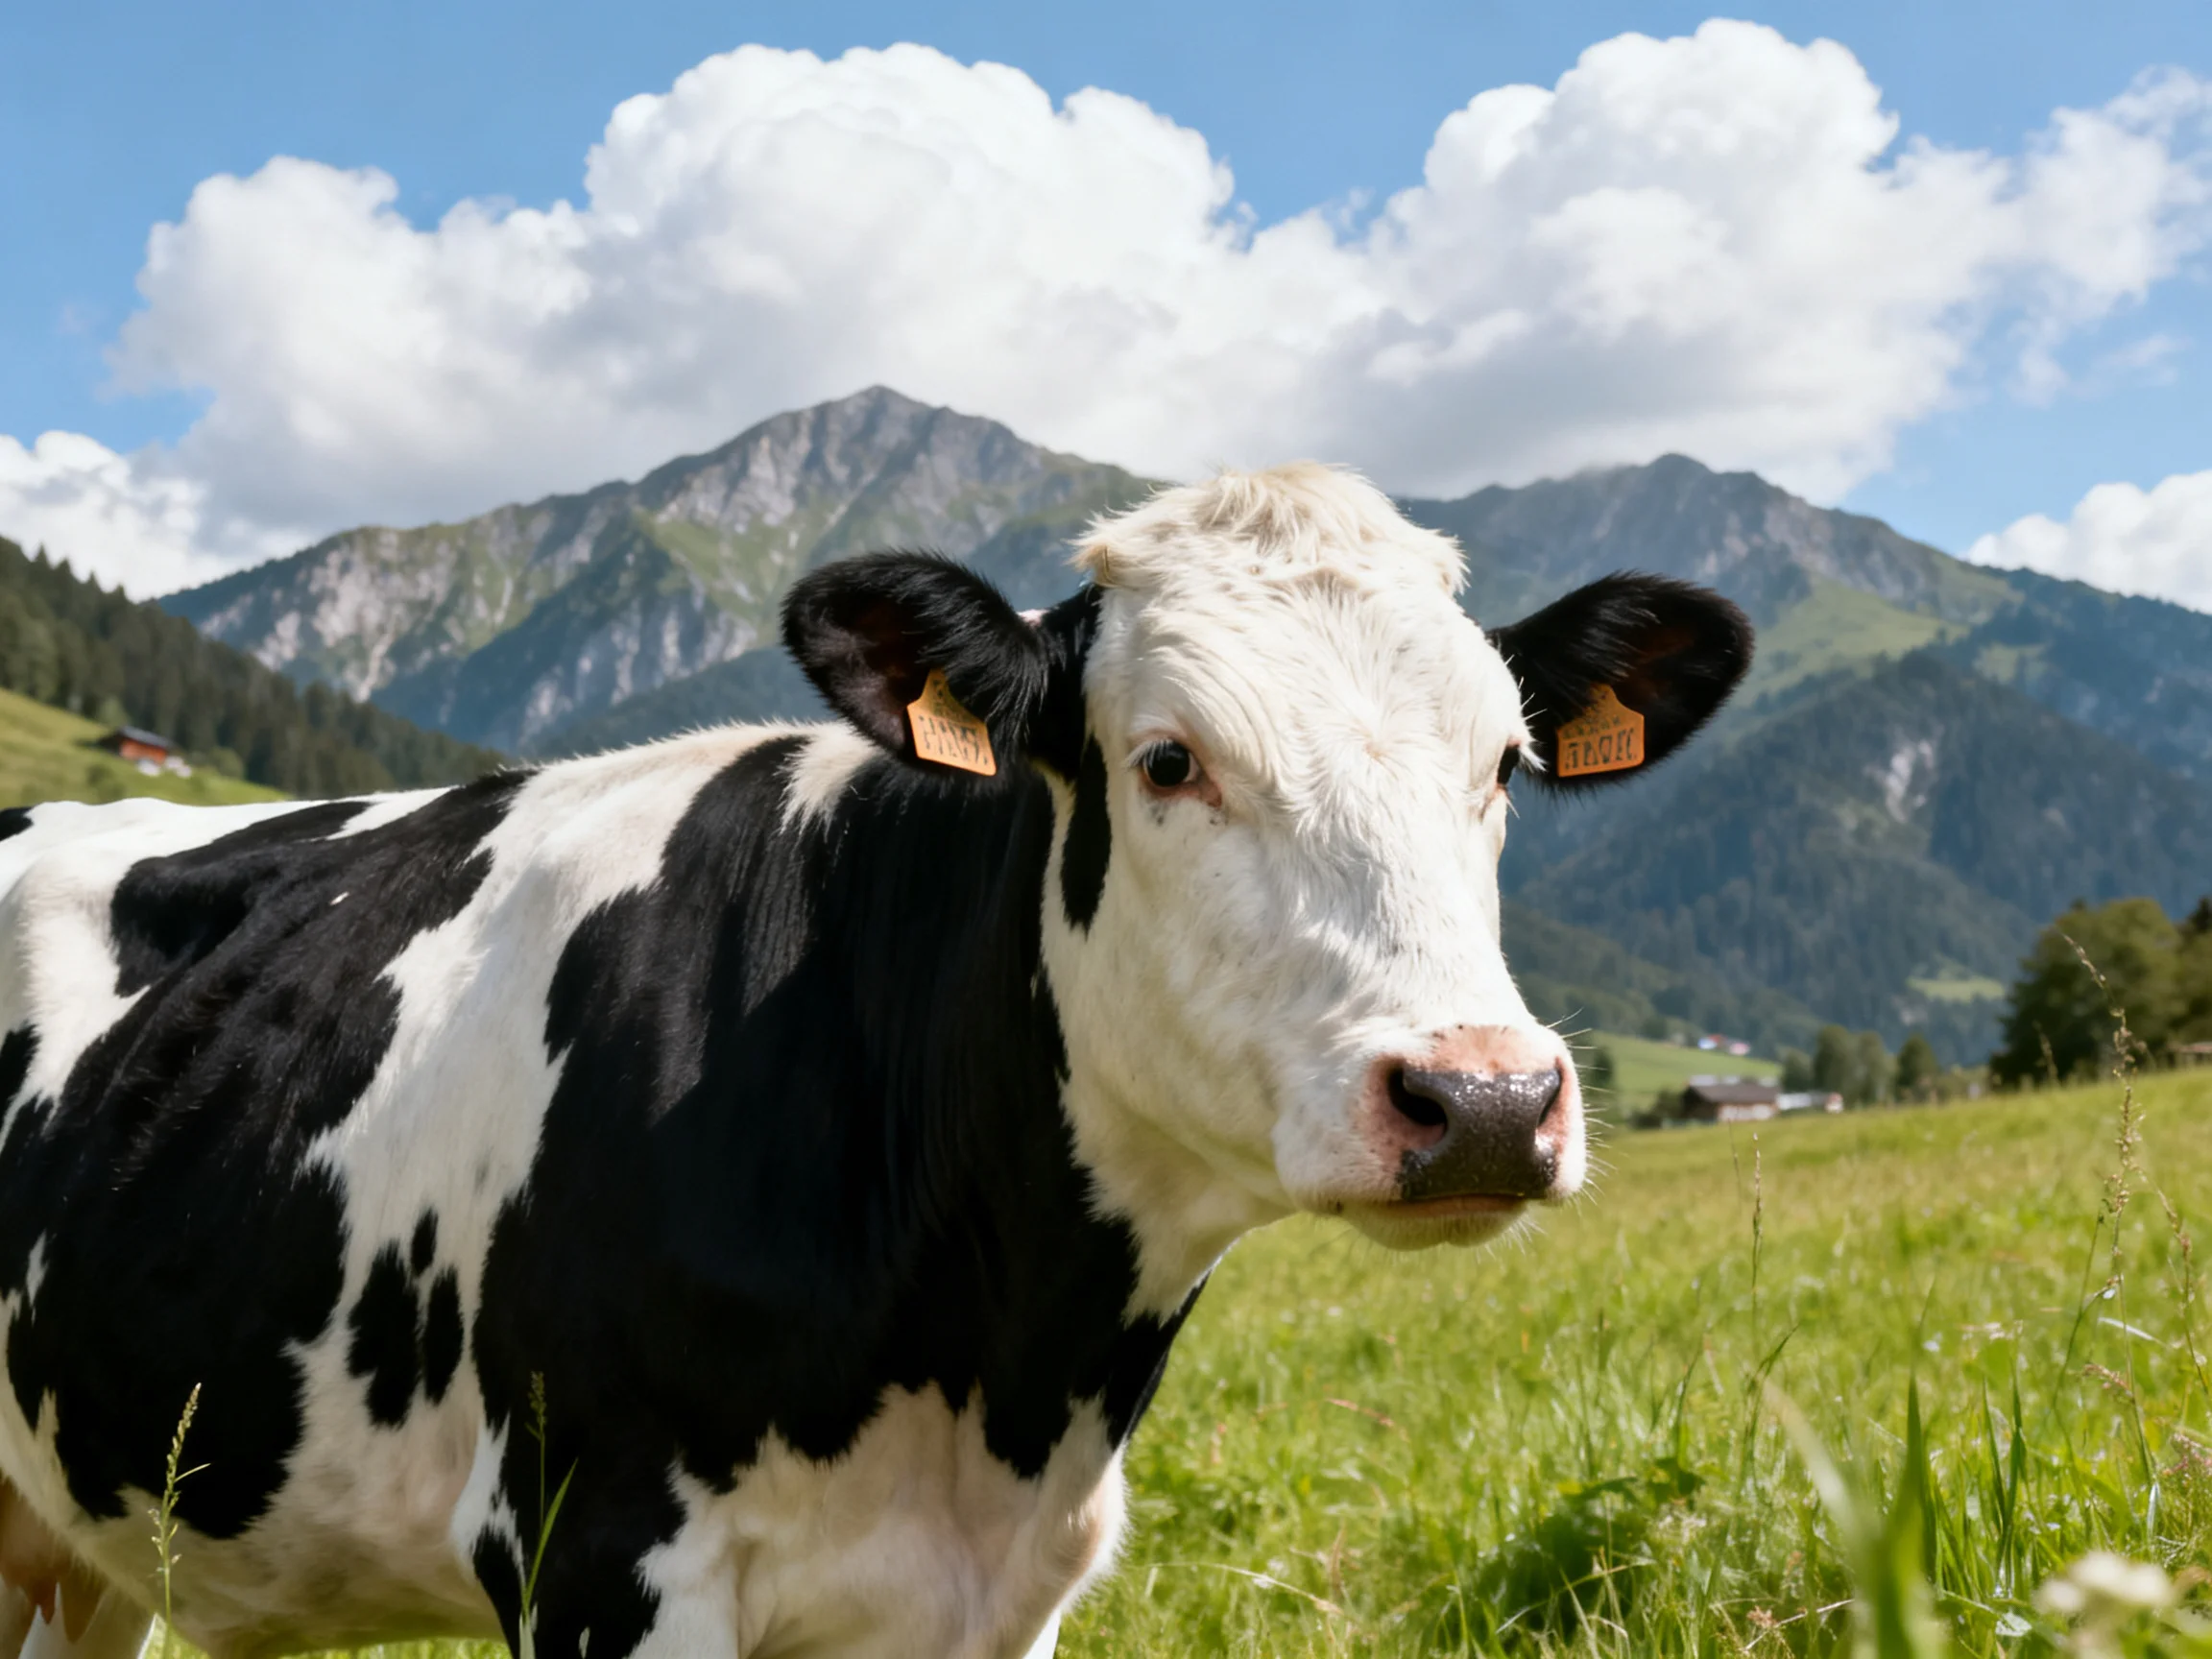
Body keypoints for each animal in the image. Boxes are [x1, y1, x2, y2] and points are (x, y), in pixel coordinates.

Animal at [0, 465, 1750, 1659]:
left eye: (1503, 762)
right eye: (1166, 759)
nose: (1483, 1100)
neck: (992, 1367)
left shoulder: (996, 1594)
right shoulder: (591, 1547)